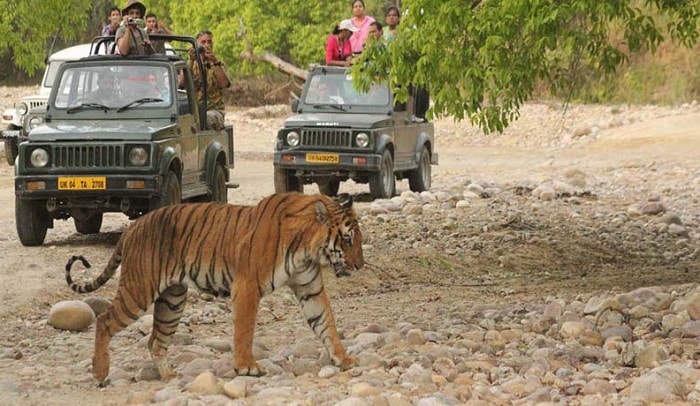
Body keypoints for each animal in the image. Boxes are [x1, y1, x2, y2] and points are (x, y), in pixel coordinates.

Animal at [64, 193, 366, 384]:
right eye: (348, 240)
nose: (360, 265)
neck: (307, 248)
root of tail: (132, 227)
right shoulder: (247, 286)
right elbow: (244, 329)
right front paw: (247, 367)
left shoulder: (309, 289)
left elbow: (326, 323)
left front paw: (343, 359)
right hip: (138, 291)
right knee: (104, 320)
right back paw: (100, 372)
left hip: (172, 300)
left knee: (155, 341)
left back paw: (169, 377)